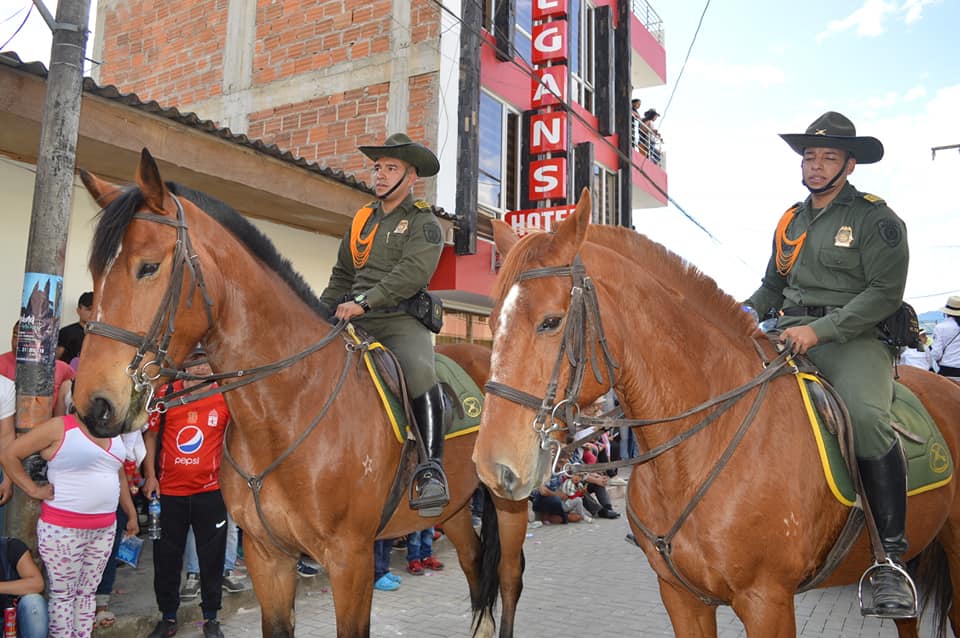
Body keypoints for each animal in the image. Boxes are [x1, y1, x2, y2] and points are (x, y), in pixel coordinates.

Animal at [70, 149, 529, 638]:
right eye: (95, 271)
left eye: (149, 266)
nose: (94, 405)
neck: (285, 409)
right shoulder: (266, 554)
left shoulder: (350, 560)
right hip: (455, 507)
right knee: (474, 561)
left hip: (508, 502)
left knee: (508, 576)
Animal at [472, 189, 960, 637]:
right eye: (492, 323)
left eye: (551, 322)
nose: (494, 467)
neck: (696, 451)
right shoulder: (680, 597)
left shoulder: (767, 602)